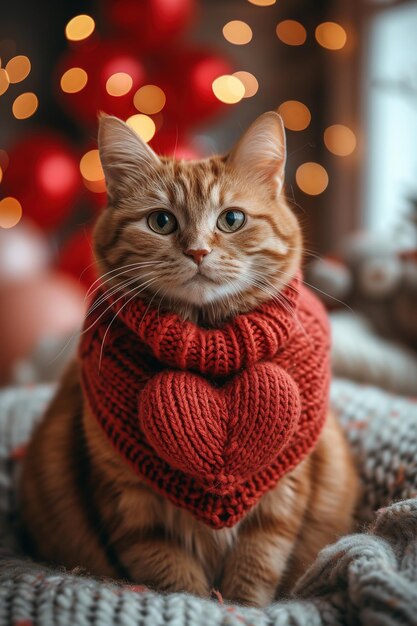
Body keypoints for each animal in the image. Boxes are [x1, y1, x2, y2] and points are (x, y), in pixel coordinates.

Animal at [20, 112, 358, 604]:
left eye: (232, 219)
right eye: (161, 221)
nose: (197, 251)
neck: (208, 346)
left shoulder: (280, 499)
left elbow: (254, 572)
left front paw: (240, 608)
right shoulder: (132, 507)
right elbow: (174, 580)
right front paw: (199, 604)